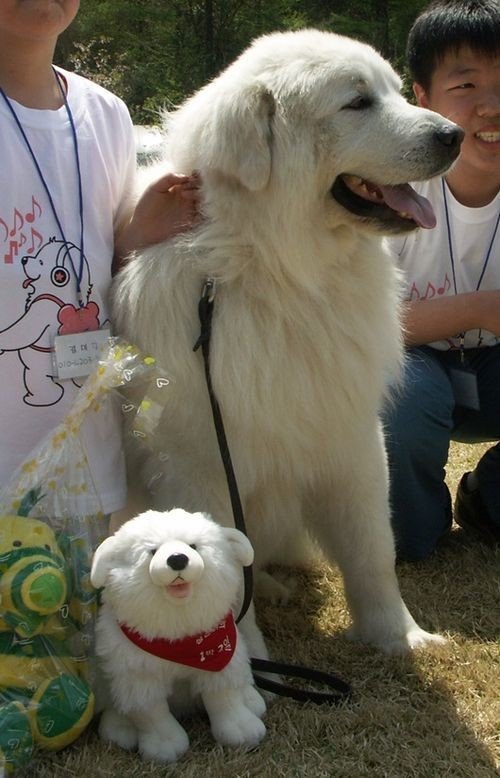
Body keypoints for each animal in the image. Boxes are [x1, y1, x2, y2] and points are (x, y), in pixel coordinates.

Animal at [112, 31, 460, 656]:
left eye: (396, 91)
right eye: (357, 102)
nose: (455, 136)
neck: (283, 276)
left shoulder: (350, 438)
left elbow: (374, 552)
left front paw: (399, 637)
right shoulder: (200, 464)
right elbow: (216, 565)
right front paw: (245, 657)